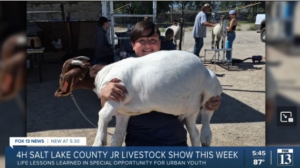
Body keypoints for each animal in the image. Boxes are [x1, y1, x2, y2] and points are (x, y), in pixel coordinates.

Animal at [54, 51, 223, 147]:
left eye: (62, 75)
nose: (59, 91)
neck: (102, 74)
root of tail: (205, 68)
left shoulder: (117, 97)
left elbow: (102, 115)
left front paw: (99, 141)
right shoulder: (122, 114)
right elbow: (117, 138)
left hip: (212, 89)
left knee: (207, 114)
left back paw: (206, 136)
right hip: (190, 111)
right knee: (193, 132)